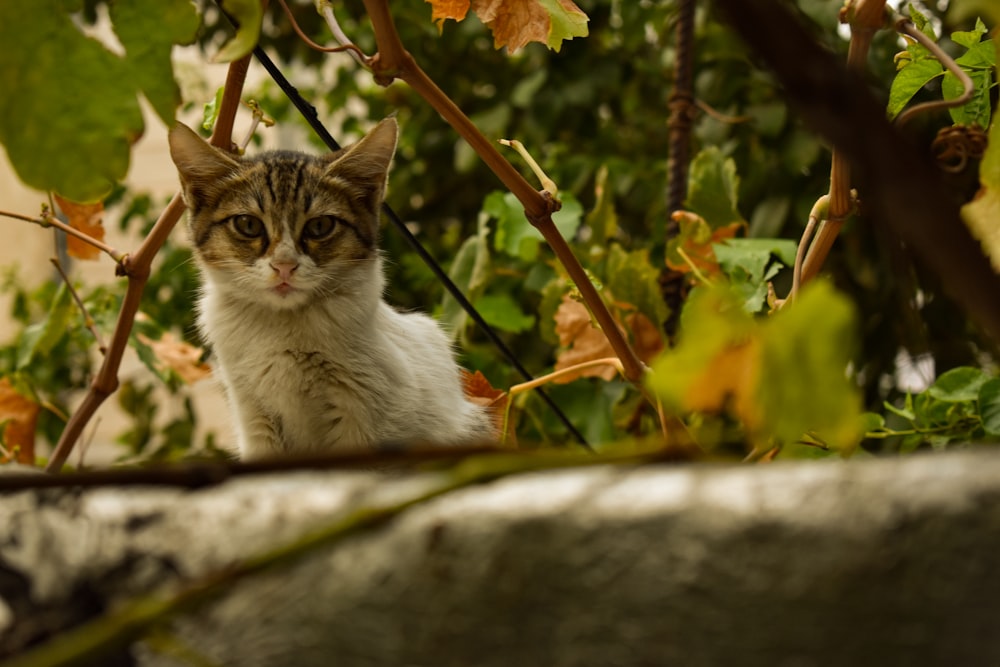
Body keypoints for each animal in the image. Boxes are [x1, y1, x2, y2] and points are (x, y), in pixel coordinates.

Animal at [168, 118, 492, 460]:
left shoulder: (364, 417)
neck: (283, 327)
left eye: (320, 226)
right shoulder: (253, 414)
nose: (284, 265)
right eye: (248, 224)